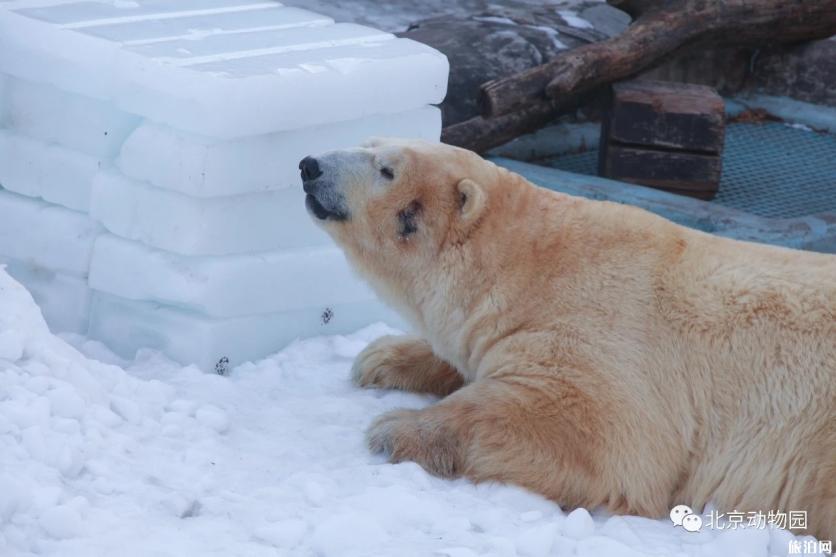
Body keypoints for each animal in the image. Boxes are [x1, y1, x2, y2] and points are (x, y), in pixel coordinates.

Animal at [300, 137, 836, 536]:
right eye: (368, 144)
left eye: (386, 168)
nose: (309, 165)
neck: (529, 263)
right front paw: (380, 357)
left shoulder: (600, 324)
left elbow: (595, 432)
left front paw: (396, 428)